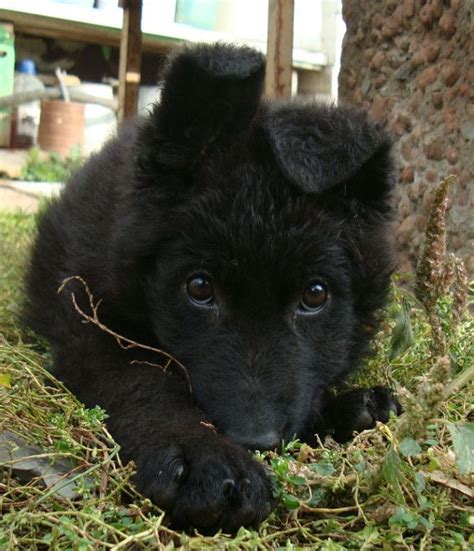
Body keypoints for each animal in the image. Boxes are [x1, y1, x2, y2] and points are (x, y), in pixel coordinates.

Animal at [26, 44, 400, 536]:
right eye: (200, 287)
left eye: (315, 295)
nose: (254, 440)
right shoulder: (89, 332)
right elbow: (143, 380)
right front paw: (202, 453)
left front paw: (351, 408)